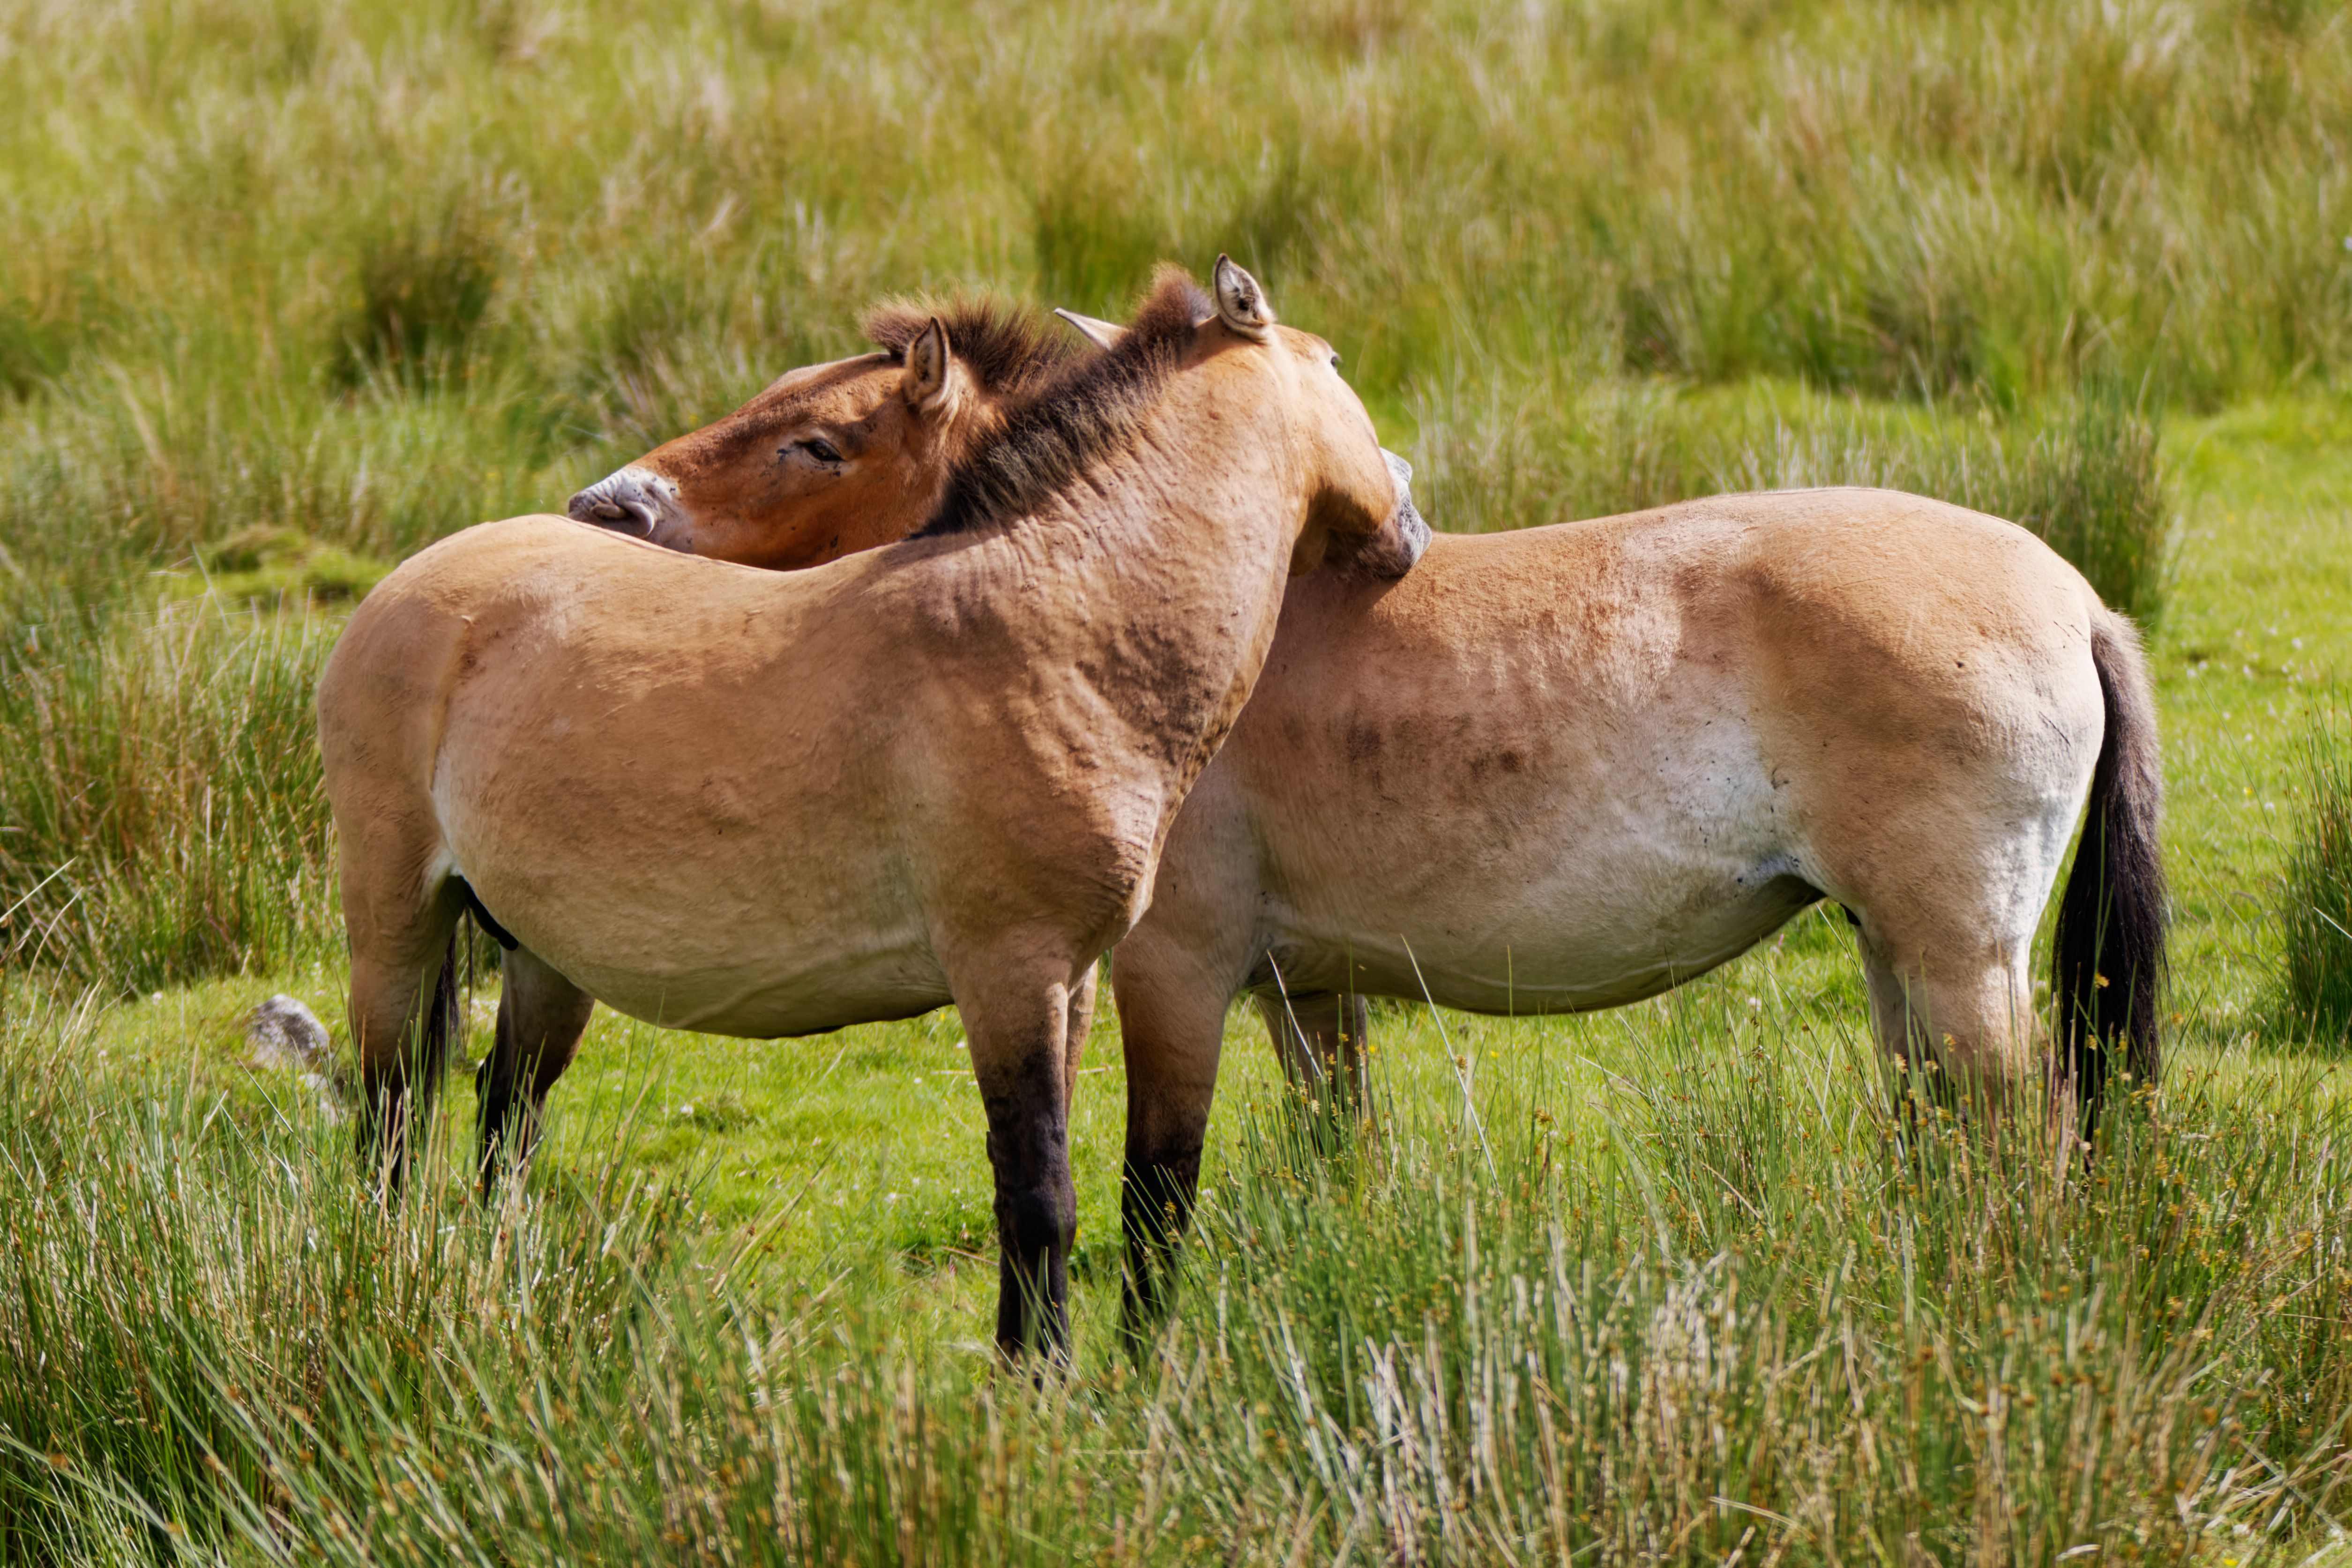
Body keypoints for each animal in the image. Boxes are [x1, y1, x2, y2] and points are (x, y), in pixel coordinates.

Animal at [315, 259, 1420, 1356]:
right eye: (1334, 366)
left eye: (818, 437)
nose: (1408, 517)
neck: (1066, 620)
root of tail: (417, 579)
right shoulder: (1006, 969)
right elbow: (1039, 1197)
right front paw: (1035, 1380)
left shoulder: (1070, 982)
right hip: (395, 928)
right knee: (389, 1120)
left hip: (544, 958)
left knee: (505, 1116)